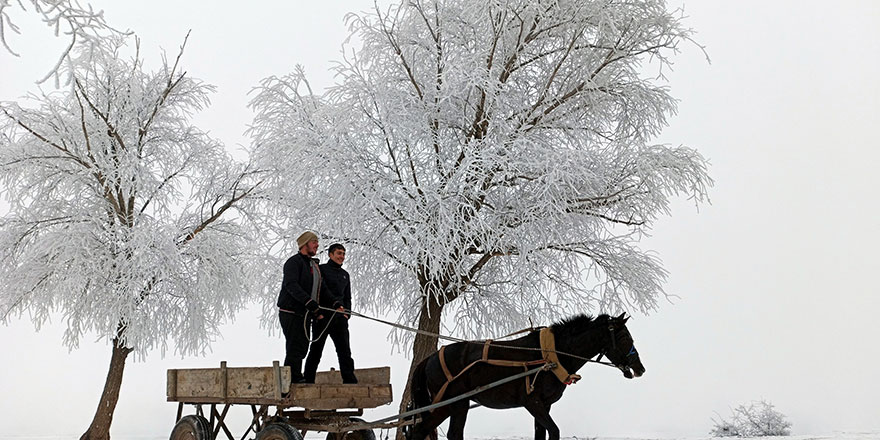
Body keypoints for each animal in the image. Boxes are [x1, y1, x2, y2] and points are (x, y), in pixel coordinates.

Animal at [402, 312, 644, 440]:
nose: (640, 368)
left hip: (451, 405)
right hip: (453, 403)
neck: (551, 355)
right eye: (624, 337)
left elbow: (541, 434)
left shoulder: (545, 405)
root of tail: (430, 358)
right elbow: (554, 431)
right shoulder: (532, 402)